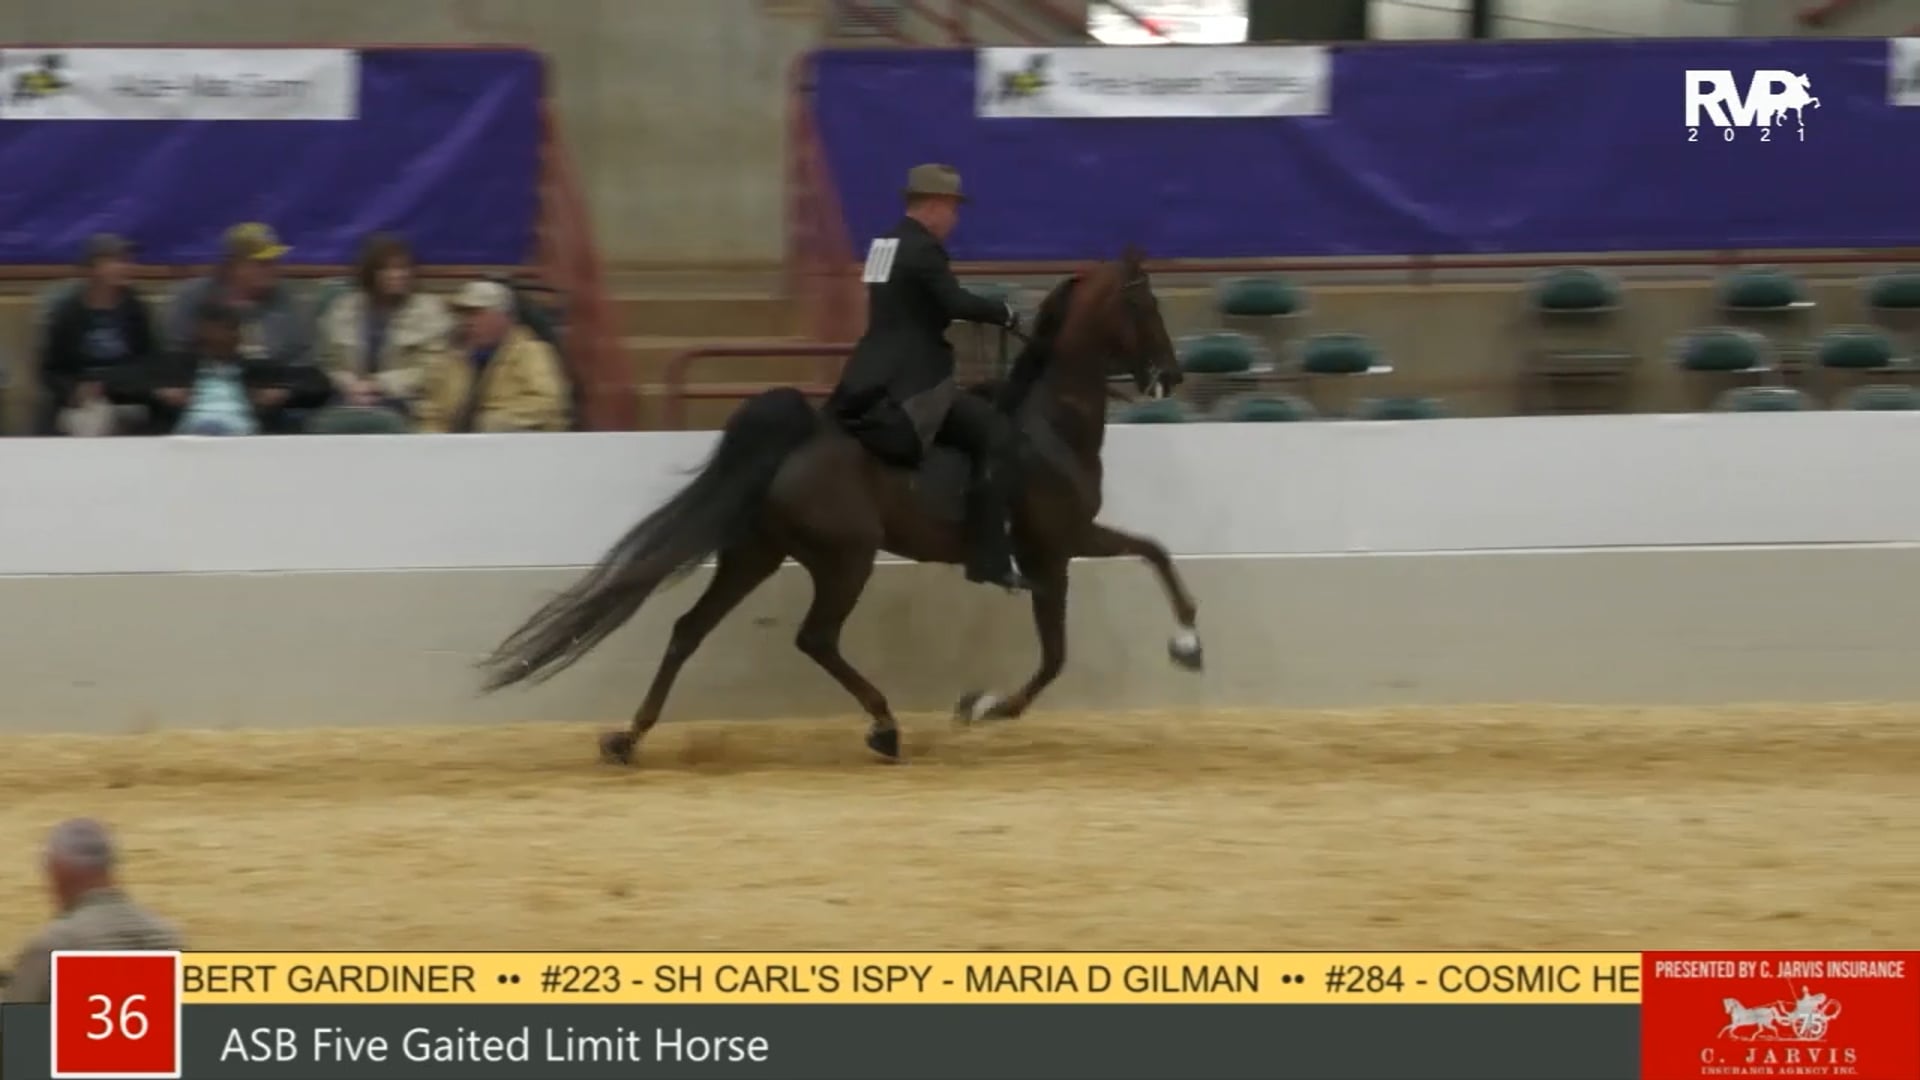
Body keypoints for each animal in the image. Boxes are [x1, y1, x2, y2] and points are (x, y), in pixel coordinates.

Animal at [479, 248, 1201, 765]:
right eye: (1144, 303)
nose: (1171, 376)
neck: (1049, 424)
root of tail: (795, 444)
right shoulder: (1056, 548)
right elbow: (1062, 650)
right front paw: (986, 706)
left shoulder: (1067, 543)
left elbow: (1151, 555)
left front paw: (1185, 644)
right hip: (845, 559)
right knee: (816, 638)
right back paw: (885, 729)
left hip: (756, 554)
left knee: (689, 630)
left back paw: (628, 740)